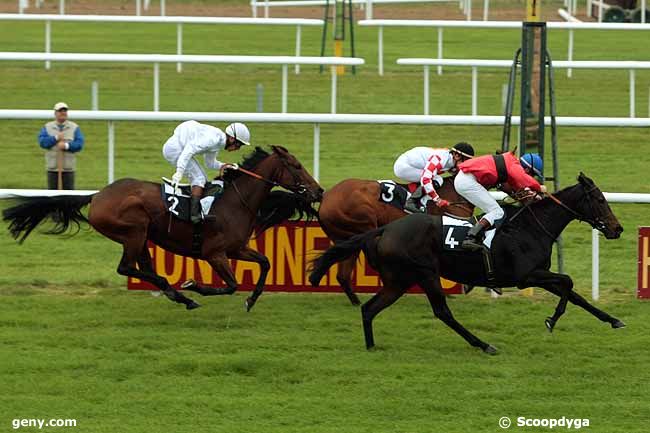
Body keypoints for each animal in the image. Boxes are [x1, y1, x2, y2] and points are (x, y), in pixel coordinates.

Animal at [2, 145, 322, 310]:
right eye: (296, 166)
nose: (318, 191)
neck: (234, 202)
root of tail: (96, 196)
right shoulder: (215, 253)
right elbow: (230, 285)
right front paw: (194, 284)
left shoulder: (236, 248)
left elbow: (265, 263)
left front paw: (251, 300)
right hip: (134, 230)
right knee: (127, 268)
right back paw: (180, 293)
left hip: (141, 237)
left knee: (143, 267)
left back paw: (177, 295)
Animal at [318, 176, 474, 304]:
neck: (455, 195)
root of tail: (325, 199)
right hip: (366, 221)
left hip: (345, 237)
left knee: (343, 275)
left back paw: (356, 301)